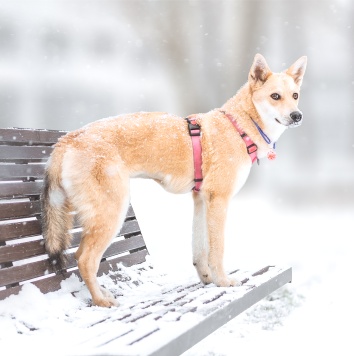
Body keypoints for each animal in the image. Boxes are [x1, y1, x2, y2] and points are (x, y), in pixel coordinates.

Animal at [42, 54, 306, 308]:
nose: (297, 115)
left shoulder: (201, 200)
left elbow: (199, 249)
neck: (238, 126)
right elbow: (217, 249)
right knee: (85, 259)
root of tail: (68, 139)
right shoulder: (219, 201)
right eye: (275, 96)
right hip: (111, 213)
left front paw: (206, 278)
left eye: (295, 95)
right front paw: (223, 281)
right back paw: (101, 300)